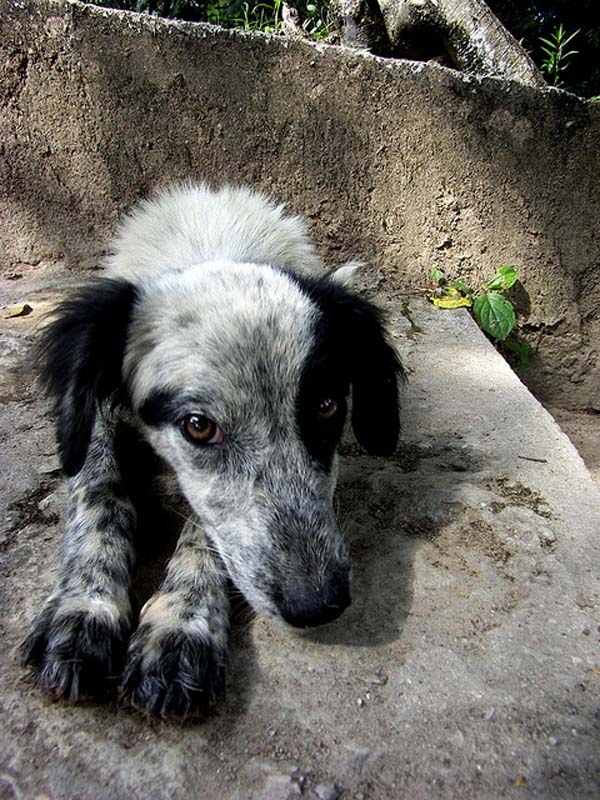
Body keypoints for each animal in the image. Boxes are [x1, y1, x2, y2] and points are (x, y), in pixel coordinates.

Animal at [21, 183, 404, 720]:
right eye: (198, 427)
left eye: (327, 407)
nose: (318, 604)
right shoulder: (92, 416)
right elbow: (98, 491)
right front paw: (85, 608)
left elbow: (204, 526)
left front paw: (180, 625)